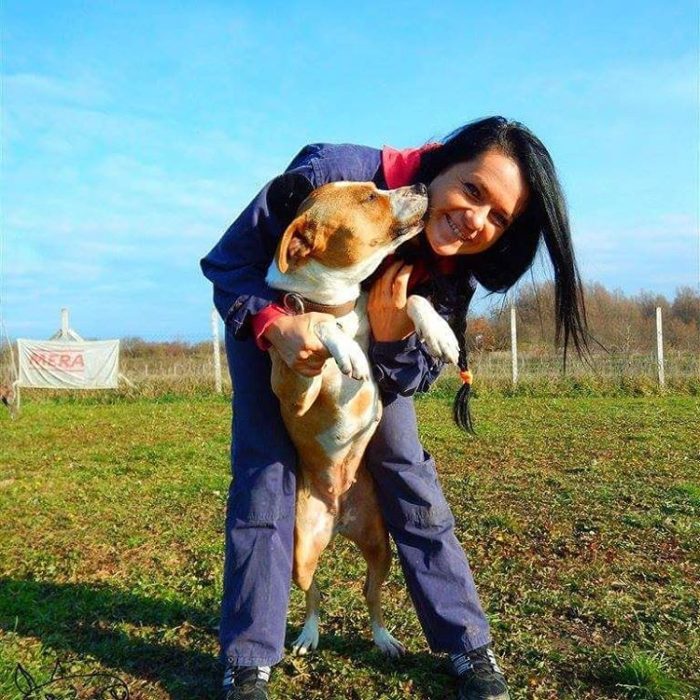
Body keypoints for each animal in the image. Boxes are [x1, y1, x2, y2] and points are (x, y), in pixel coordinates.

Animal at [264, 179, 460, 656]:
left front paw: (440, 333)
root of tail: (338, 516)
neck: (339, 304)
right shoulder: (292, 389)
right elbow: (316, 326)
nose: (421, 184)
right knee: (313, 593)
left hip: (380, 546)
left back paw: (385, 639)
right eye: (369, 198)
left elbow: (413, 298)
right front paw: (341, 346)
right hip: (301, 553)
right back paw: (308, 634)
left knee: (371, 594)